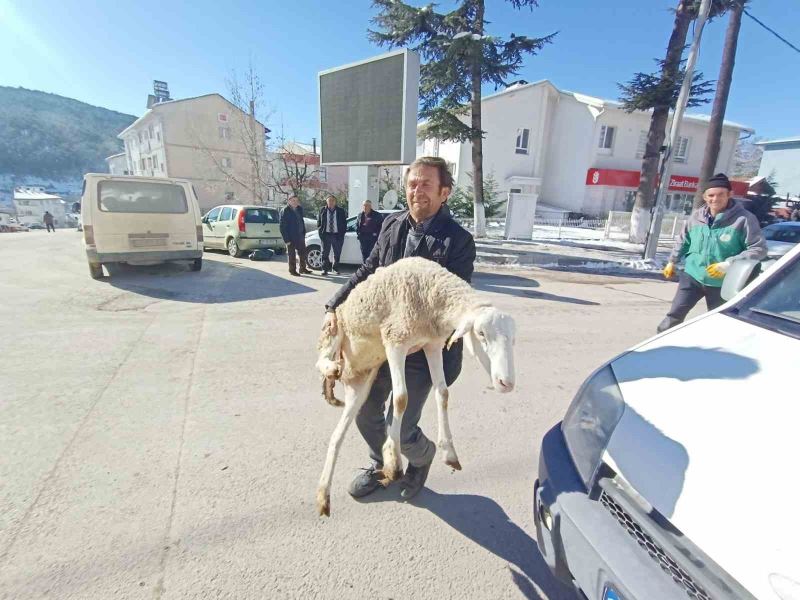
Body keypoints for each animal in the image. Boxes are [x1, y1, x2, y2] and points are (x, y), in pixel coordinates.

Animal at [316, 256, 516, 516]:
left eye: (513, 339)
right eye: (481, 333)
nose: (506, 383)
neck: (433, 295)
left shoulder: (433, 344)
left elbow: (443, 393)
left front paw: (448, 452)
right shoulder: (395, 340)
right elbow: (401, 398)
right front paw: (393, 462)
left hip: (361, 381)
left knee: (337, 436)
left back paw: (323, 495)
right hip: (334, 332)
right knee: (320, 359)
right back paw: (331, 368)